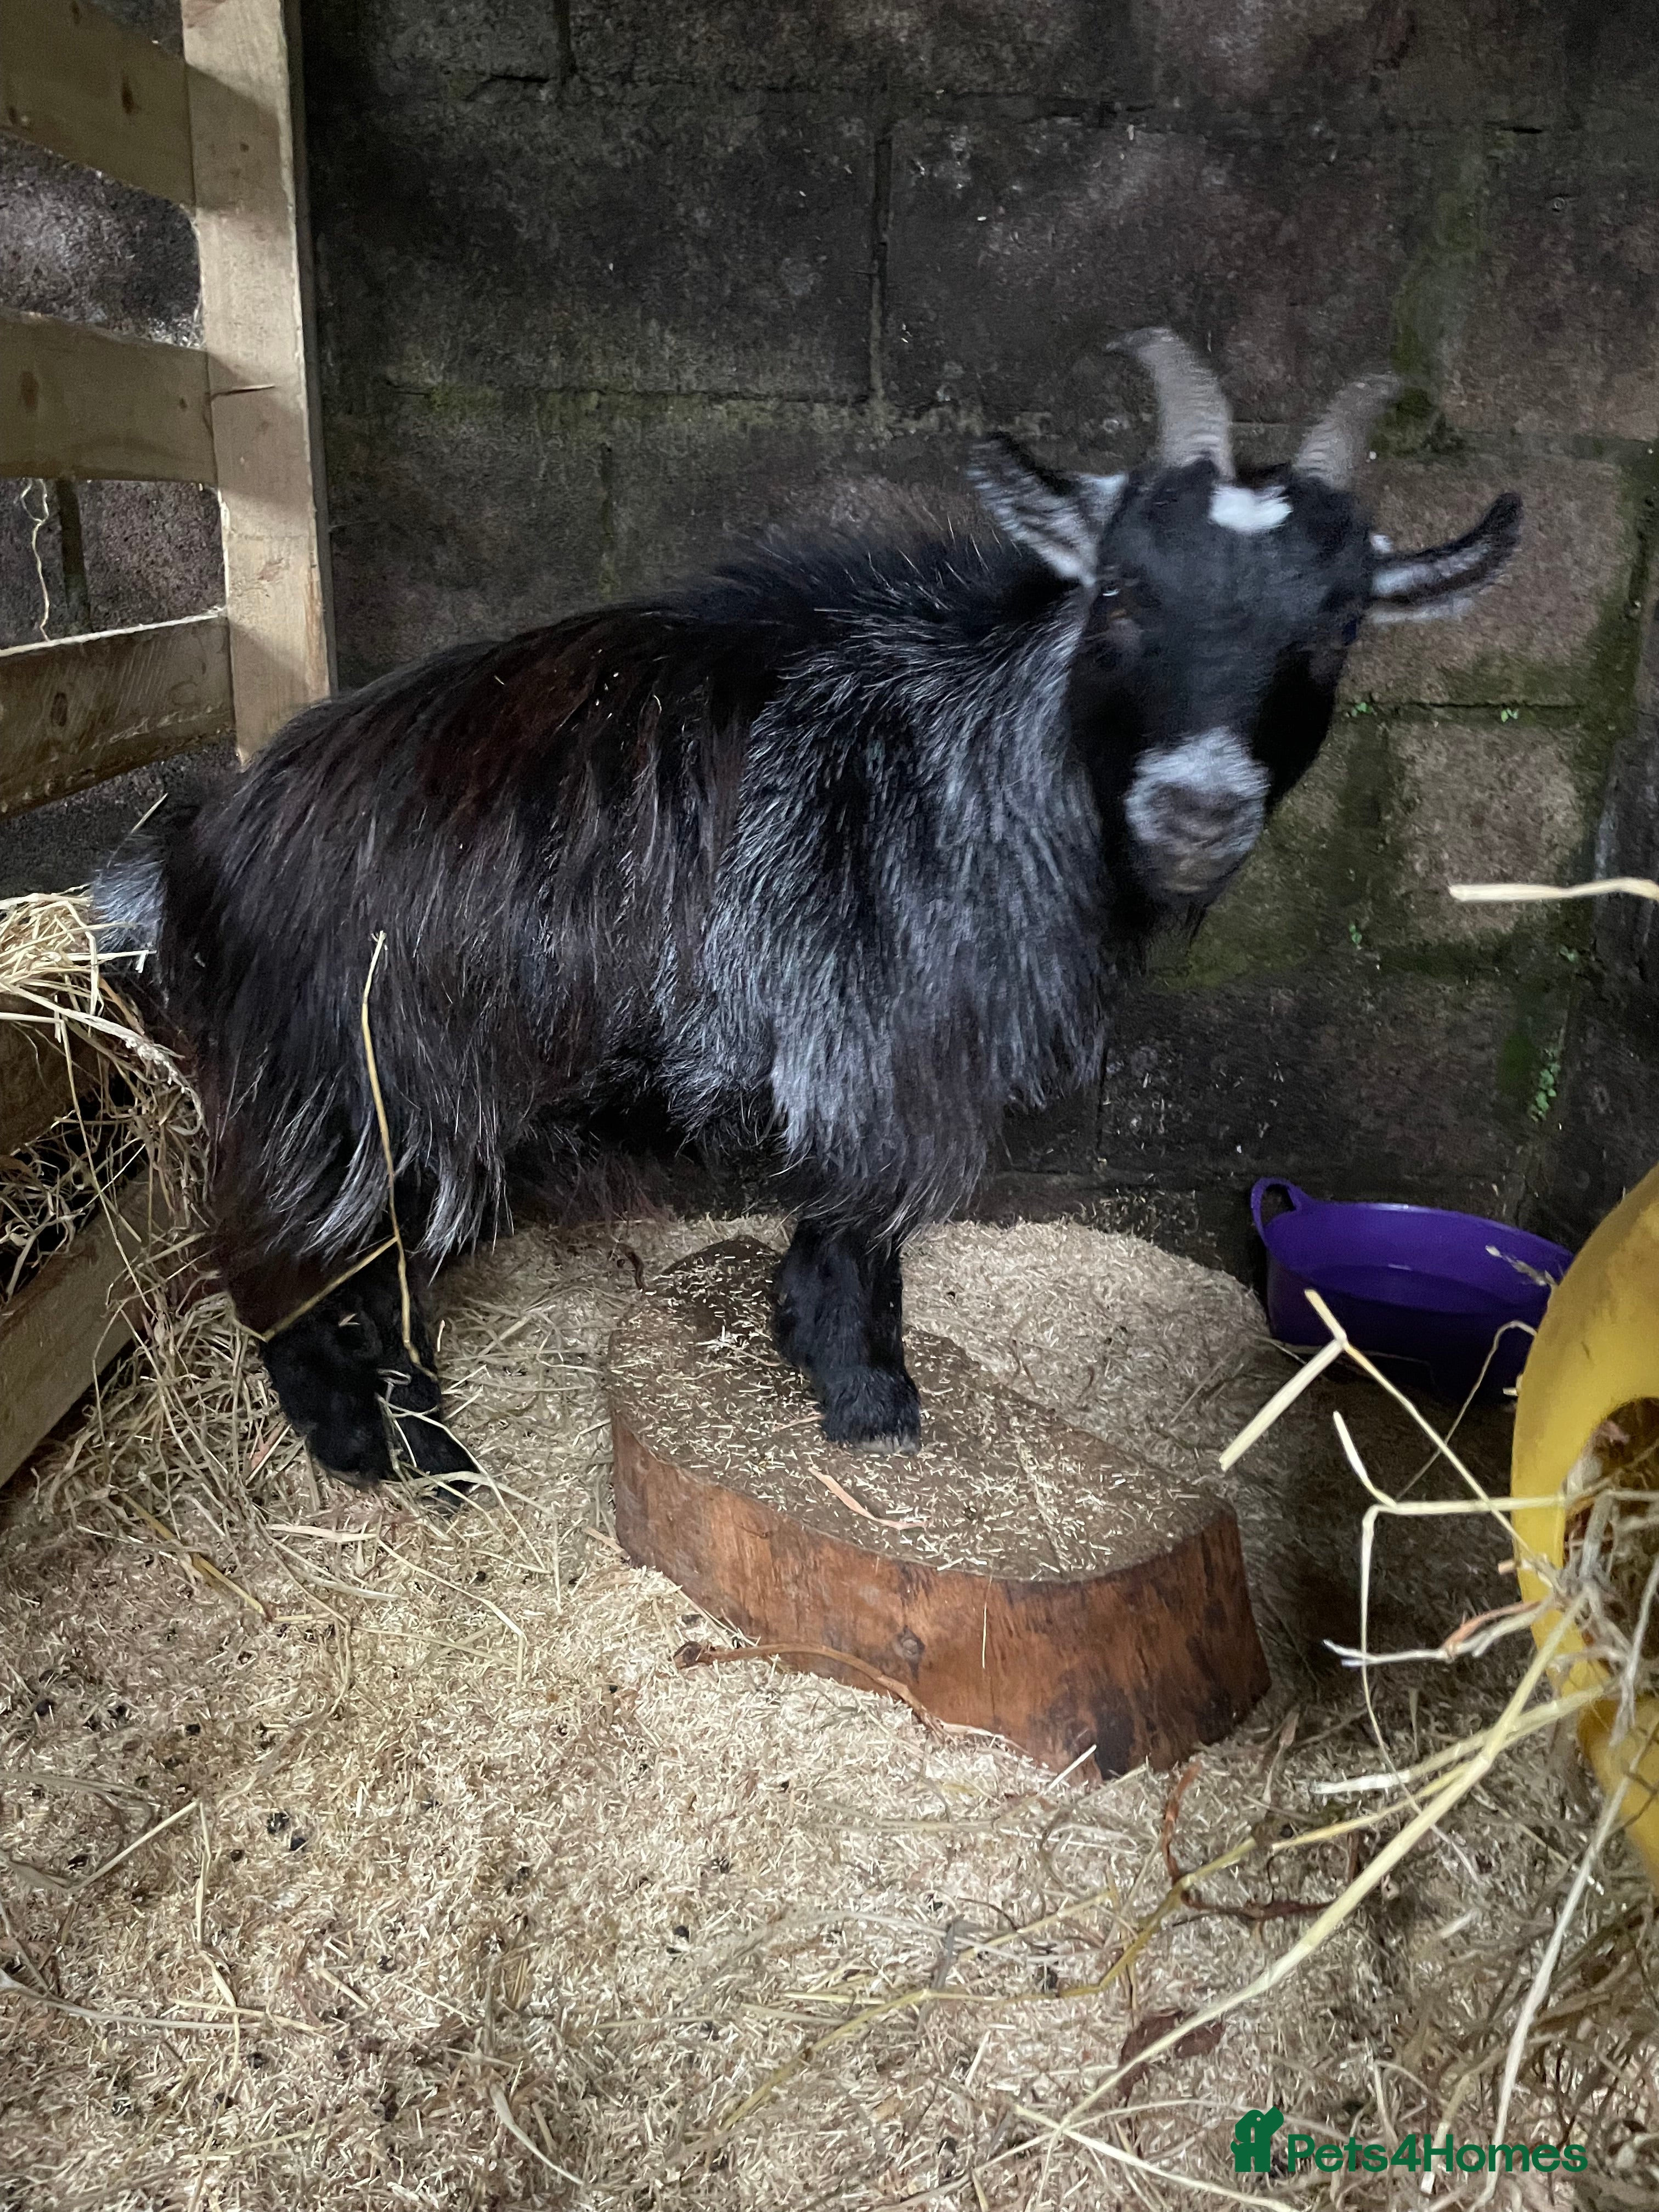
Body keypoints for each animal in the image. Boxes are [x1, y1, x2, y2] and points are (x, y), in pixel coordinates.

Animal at [96, 329, 1522, 1486]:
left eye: (1334, 629)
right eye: (1122, 593)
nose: (1196, 812)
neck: (978, 754)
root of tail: (197, 844)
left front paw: (820, 1347)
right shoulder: (879, 1051)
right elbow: (861, 1222)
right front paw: (870, 1395)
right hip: (339, 1088)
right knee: (268, 1261)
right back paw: (384, 1450)